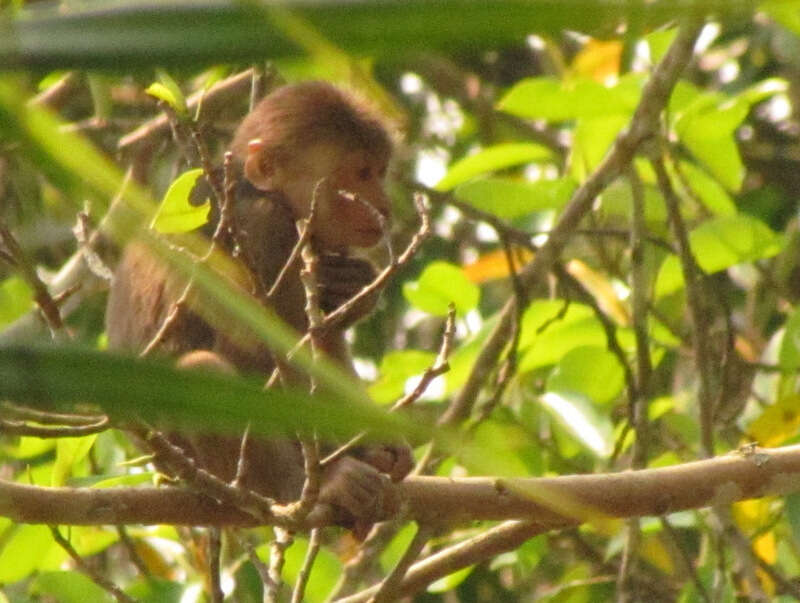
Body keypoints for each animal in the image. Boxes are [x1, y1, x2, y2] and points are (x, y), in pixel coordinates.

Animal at [108, 81, 412, 528]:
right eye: (360, 174)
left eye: (379, 171)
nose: (385, 206)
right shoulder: (262, 230)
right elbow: (260, 355)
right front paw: (337, 470)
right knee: (204, 371)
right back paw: (296, 488)